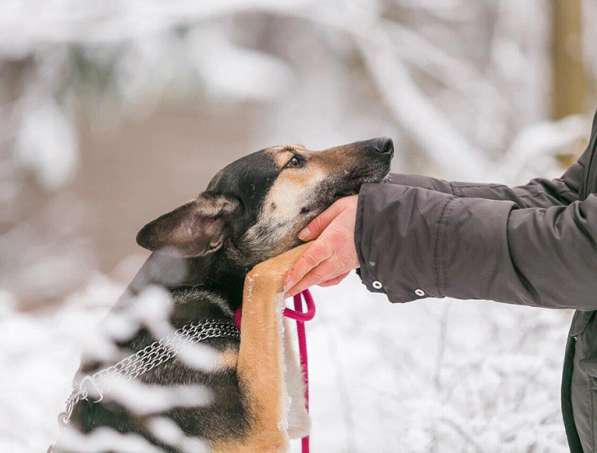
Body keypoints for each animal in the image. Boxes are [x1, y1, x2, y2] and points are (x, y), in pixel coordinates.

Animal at [54, 137, 392, 452]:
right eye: (294, 161)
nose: (385, 144)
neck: (200, 285)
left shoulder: (289, 414)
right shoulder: (259, 433)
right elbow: (259, 276)